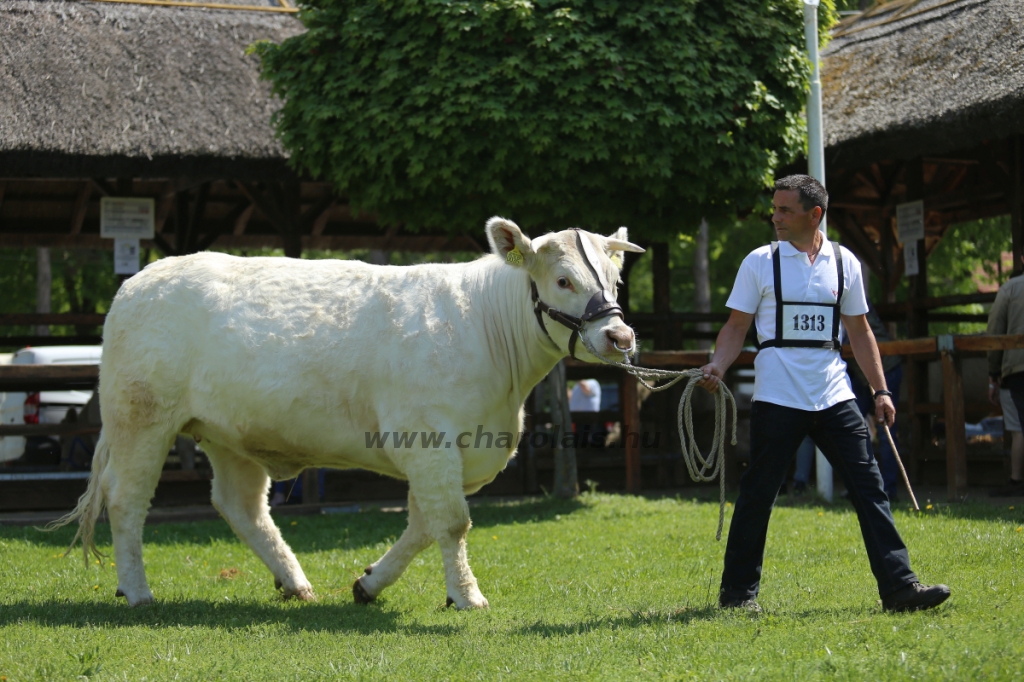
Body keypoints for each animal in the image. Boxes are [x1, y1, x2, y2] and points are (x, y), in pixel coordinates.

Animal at [56, 218, 638, 606]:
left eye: (614, 281)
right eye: (563, 280)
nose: (621, 336)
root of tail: (139, 281)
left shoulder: (448, 452)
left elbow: (424, 525)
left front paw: (369, 582)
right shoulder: (429, 440)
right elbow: (452, 523)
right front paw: (466, 596)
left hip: (225, 433)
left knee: (241, 506)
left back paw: (295, 582)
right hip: (141, 418)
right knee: (126, 500)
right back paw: (136, 590)